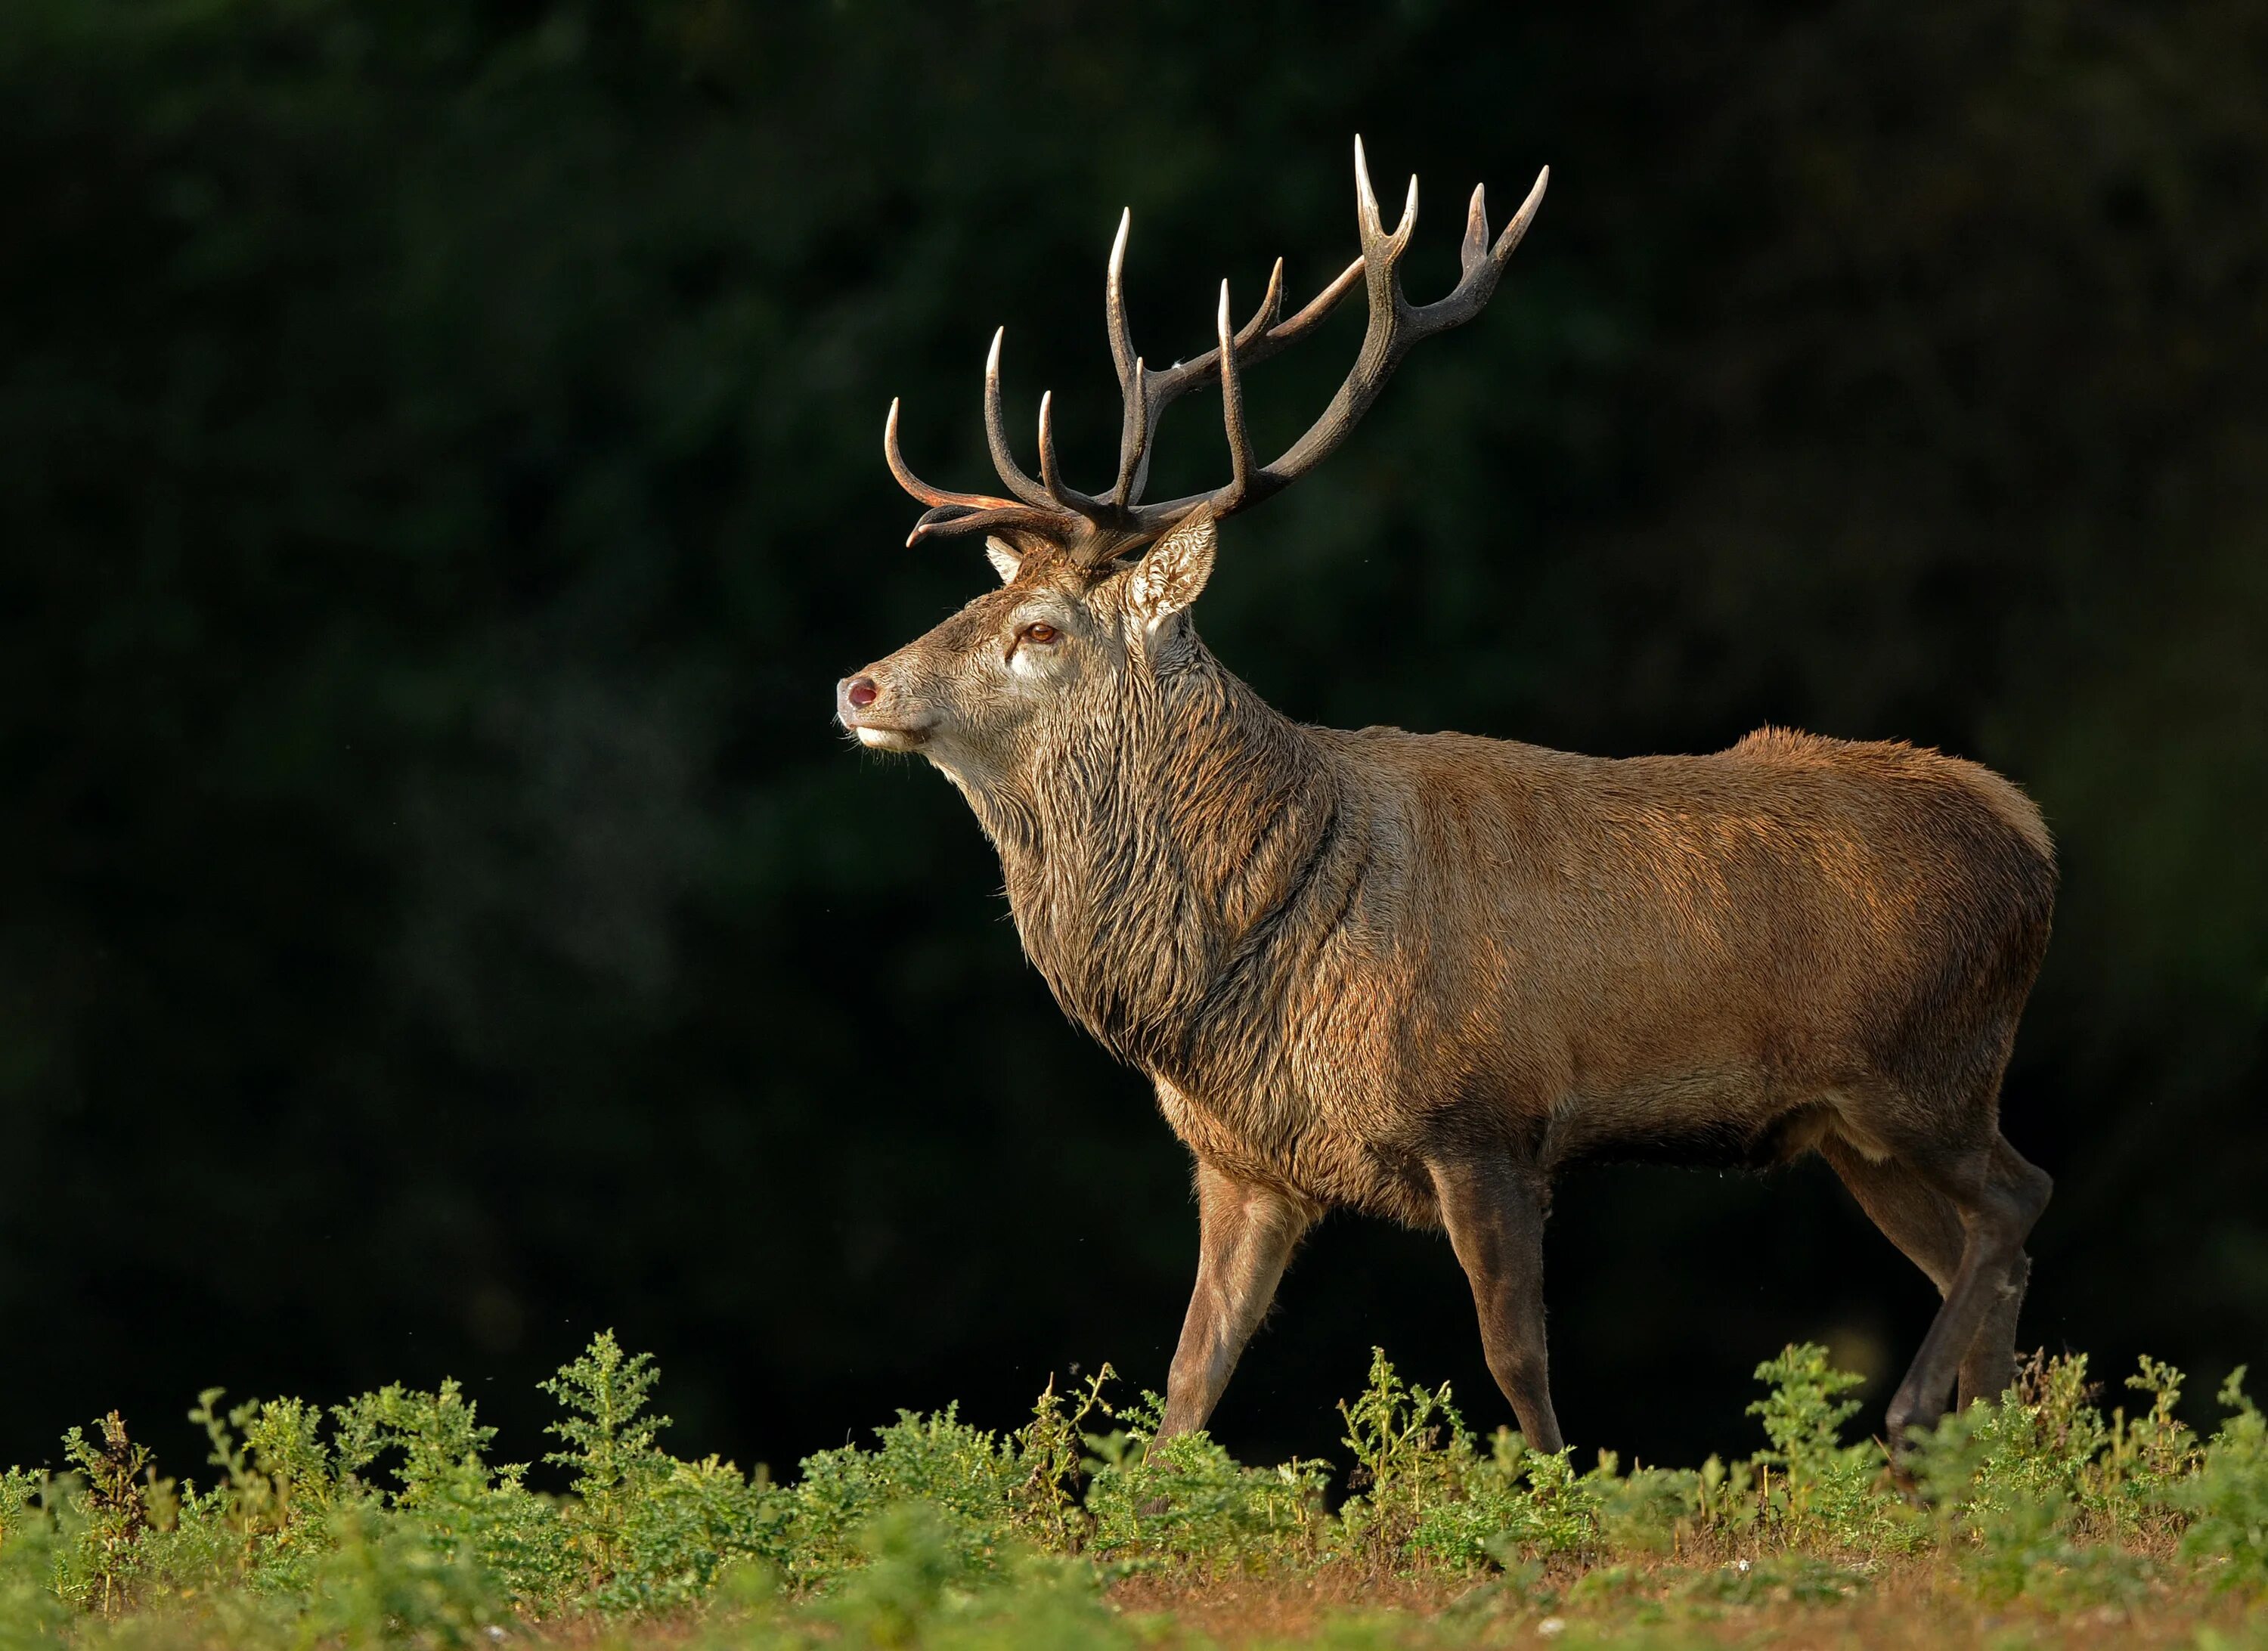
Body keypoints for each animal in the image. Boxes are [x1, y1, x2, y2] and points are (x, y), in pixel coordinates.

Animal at [835, 138, 2059, 1460]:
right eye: (976, 602)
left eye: (1040, 630)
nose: (858, 684)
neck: (1255, 949)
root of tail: (2032, 836)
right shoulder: (1245, 1162)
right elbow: (1187, 1385)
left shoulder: (1488, 1118)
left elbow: (1517, 1364)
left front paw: (1563, 1489)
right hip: (1854, 1124)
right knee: (1982, 1254)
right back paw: (1989, 1454)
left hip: (1929, 1066)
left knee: (2020, 1202)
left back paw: (1918, 1419)